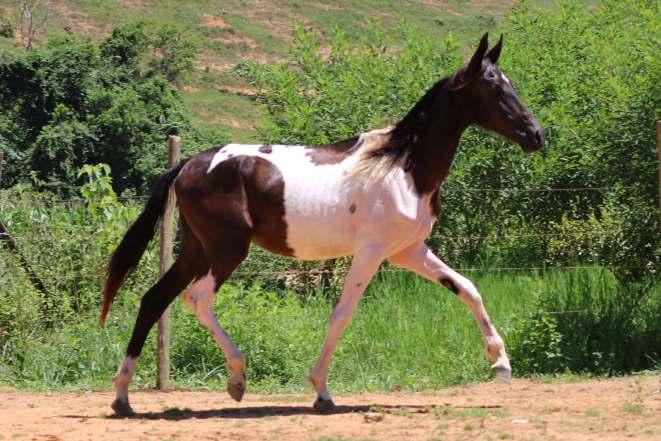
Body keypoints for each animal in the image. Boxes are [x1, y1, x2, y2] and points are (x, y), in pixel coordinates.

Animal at [98, 32, 540, 414]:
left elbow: (468, 289)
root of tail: (189, 163)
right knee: (197, 298)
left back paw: (122, 398)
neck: (402, 167)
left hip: (196, 249)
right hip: (227, 250)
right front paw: (321, 392)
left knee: (154, 299)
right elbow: (341, 315)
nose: (536, 135)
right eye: (493, 87)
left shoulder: (408, 251)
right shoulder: (371, 253)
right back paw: (236, 379)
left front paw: (500, 364)